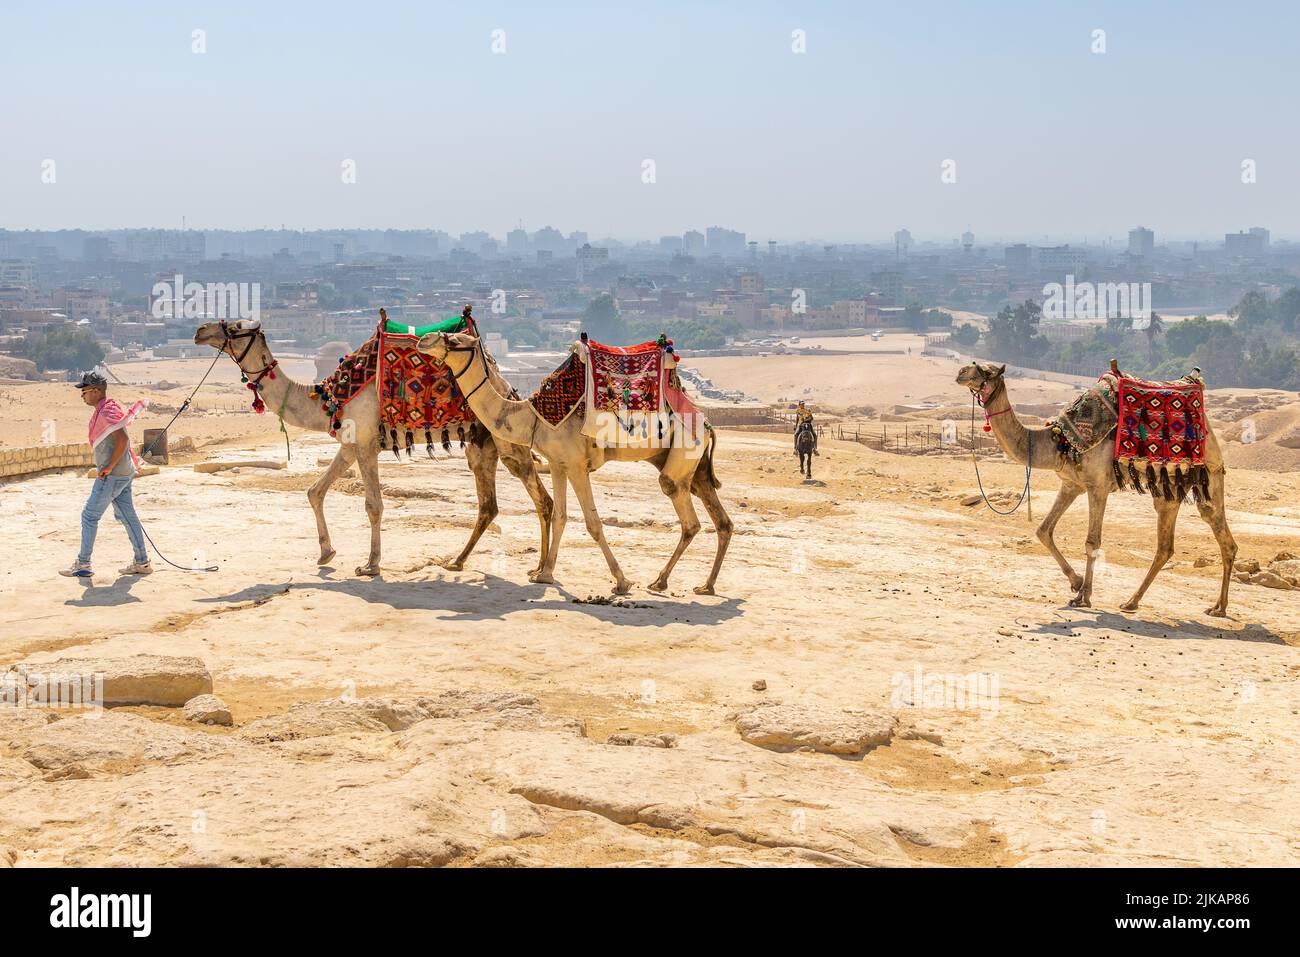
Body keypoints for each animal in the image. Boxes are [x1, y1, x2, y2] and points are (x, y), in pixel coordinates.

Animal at [195, 319, 551, 574]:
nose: (200, 331)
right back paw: (457, 561)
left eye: (236, 327)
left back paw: (540, 570)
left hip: (508, 442)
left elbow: (373, 506)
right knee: (488, 505)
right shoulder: (350, 444)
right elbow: (315, 491)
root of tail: (509, 386)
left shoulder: (365, 443)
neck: (327, 397)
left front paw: (370, 565)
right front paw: (326, 553)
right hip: (481, 444)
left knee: (542, 499)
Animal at [416, 332, 733, 595]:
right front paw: (544, 574)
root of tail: (706, 424)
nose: (423, 340)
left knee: (687, 517)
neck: (532, 418)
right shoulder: (558, 463)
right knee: (721, 520)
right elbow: (560, 516)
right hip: (692, 467)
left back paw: (661, 581)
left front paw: (621, 582)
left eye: (454, 339)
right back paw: (703, 585)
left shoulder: (577, 465)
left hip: (683, 452)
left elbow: (593, 523)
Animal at [961, 356, 1232, 613]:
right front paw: (1076, 582)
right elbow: (1043, 530)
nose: (961, 372)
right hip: (1170, 489)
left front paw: (1083, 597)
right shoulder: (1071, 484)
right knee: (1167, 545)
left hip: (1210, 474)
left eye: (986, 371)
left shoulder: (1098, 486)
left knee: (1217, 528)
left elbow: (1092, 542)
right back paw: (1134, 602)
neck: (1060, 442)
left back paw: (1218, 608)